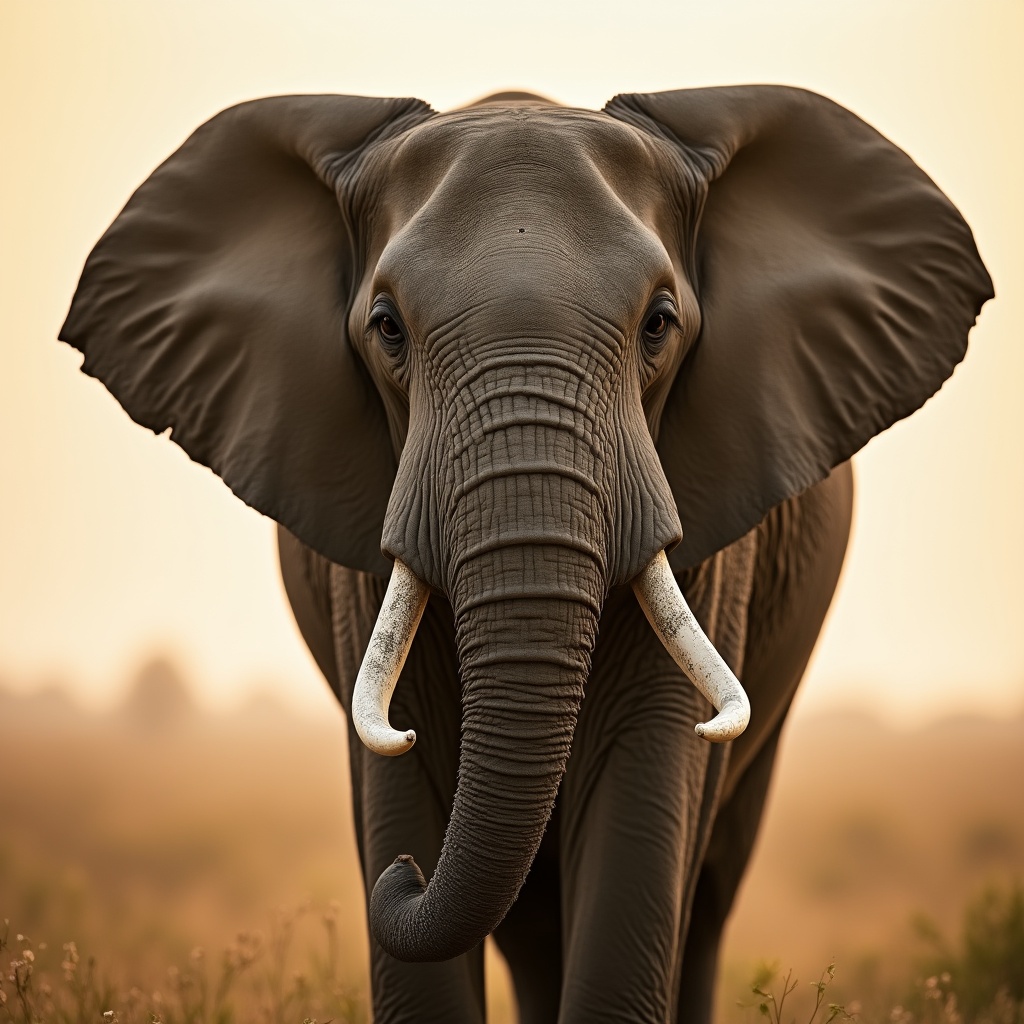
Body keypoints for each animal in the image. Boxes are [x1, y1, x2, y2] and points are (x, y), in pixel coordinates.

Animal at [60, 86, 991, 1023]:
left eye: (660, 325)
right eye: (387, 329)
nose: (403, 877)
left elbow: (639, 822)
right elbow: (404, 786)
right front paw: (404, 824)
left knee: (706, 892)